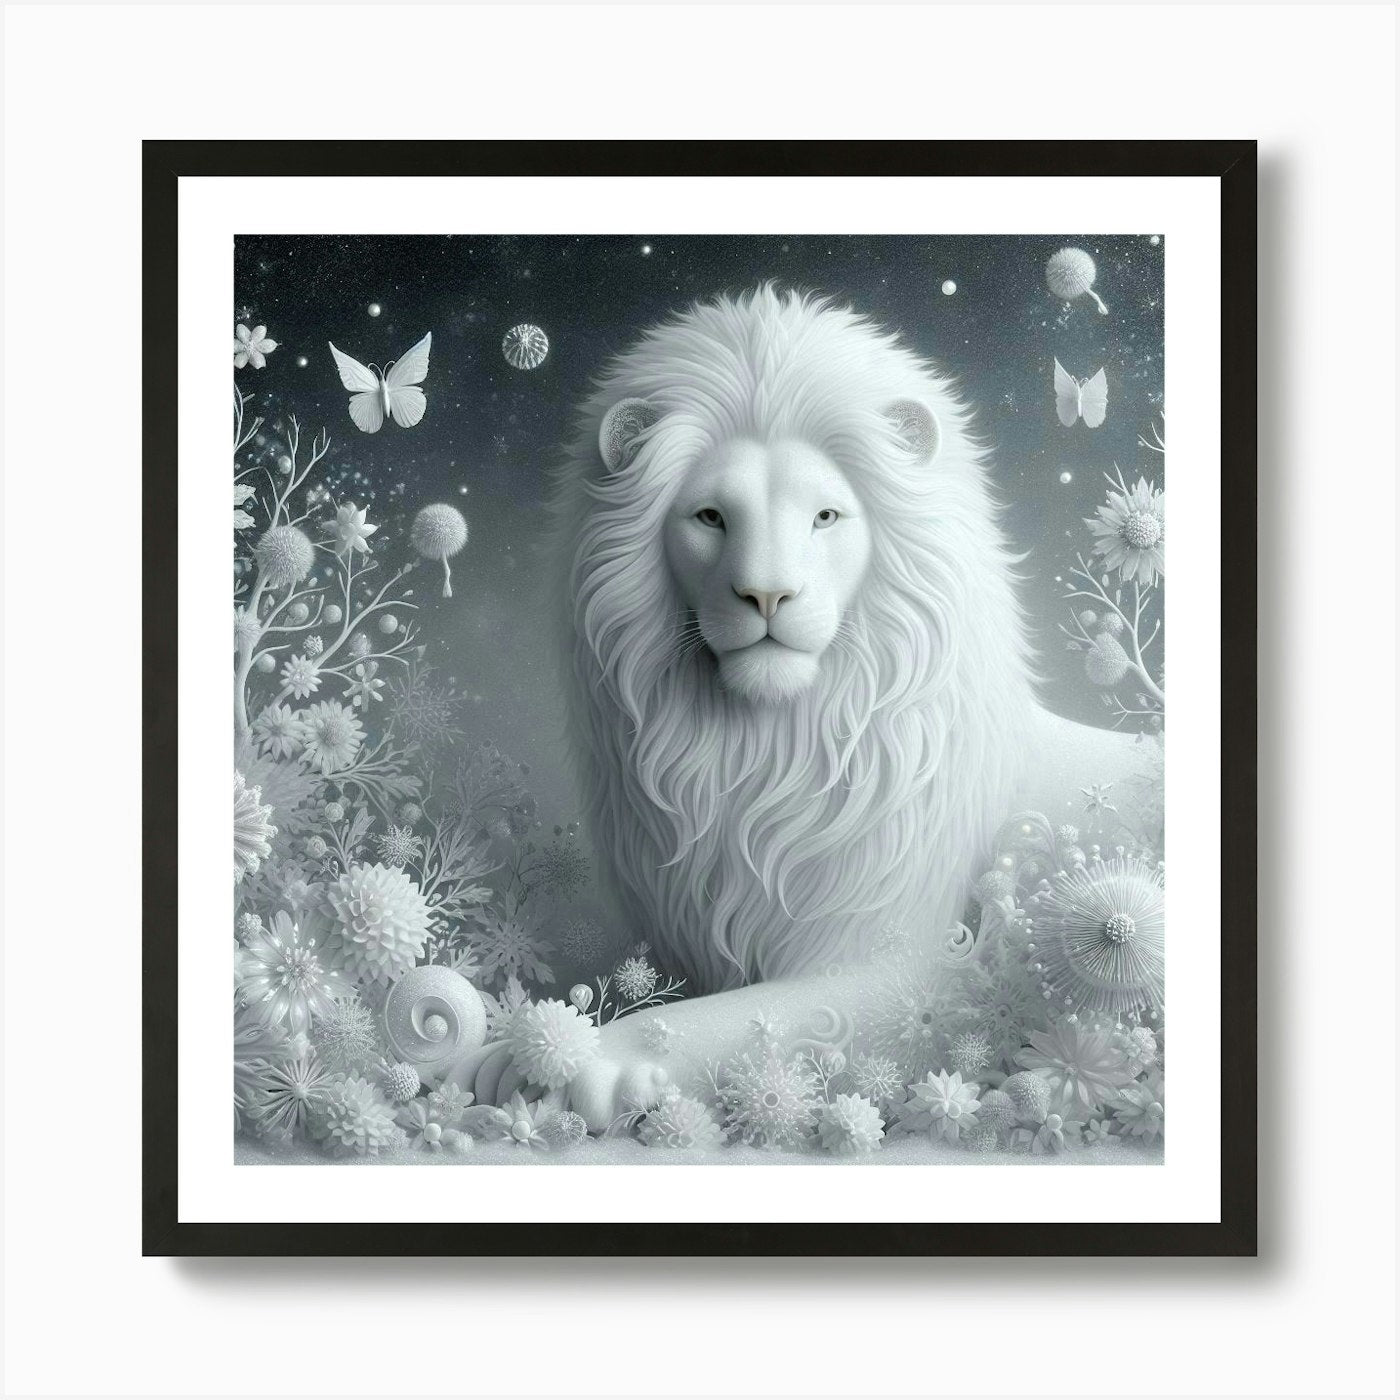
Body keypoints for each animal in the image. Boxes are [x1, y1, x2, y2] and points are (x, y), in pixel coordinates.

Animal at [533, 285, 1147, 1126]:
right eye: (710, 517)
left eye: (825, 516)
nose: (767, 595)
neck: (758, 761)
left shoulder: (915, 975)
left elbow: (740, 1021)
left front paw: (588, 1058)